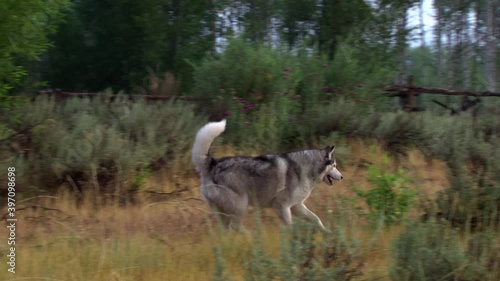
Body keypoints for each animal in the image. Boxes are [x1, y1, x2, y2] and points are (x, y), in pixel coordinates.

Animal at [192, 119, 344, 231]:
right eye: (335, 166)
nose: (342, 177)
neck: (305, 169)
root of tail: (212, 164)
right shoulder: (283, 207)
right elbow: (290, 227)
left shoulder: (297, 206)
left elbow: (316, 219)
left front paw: (327, 233)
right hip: (241, 206)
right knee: (236, 227)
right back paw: (250, 238)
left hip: (226, 212)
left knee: (226, 230)